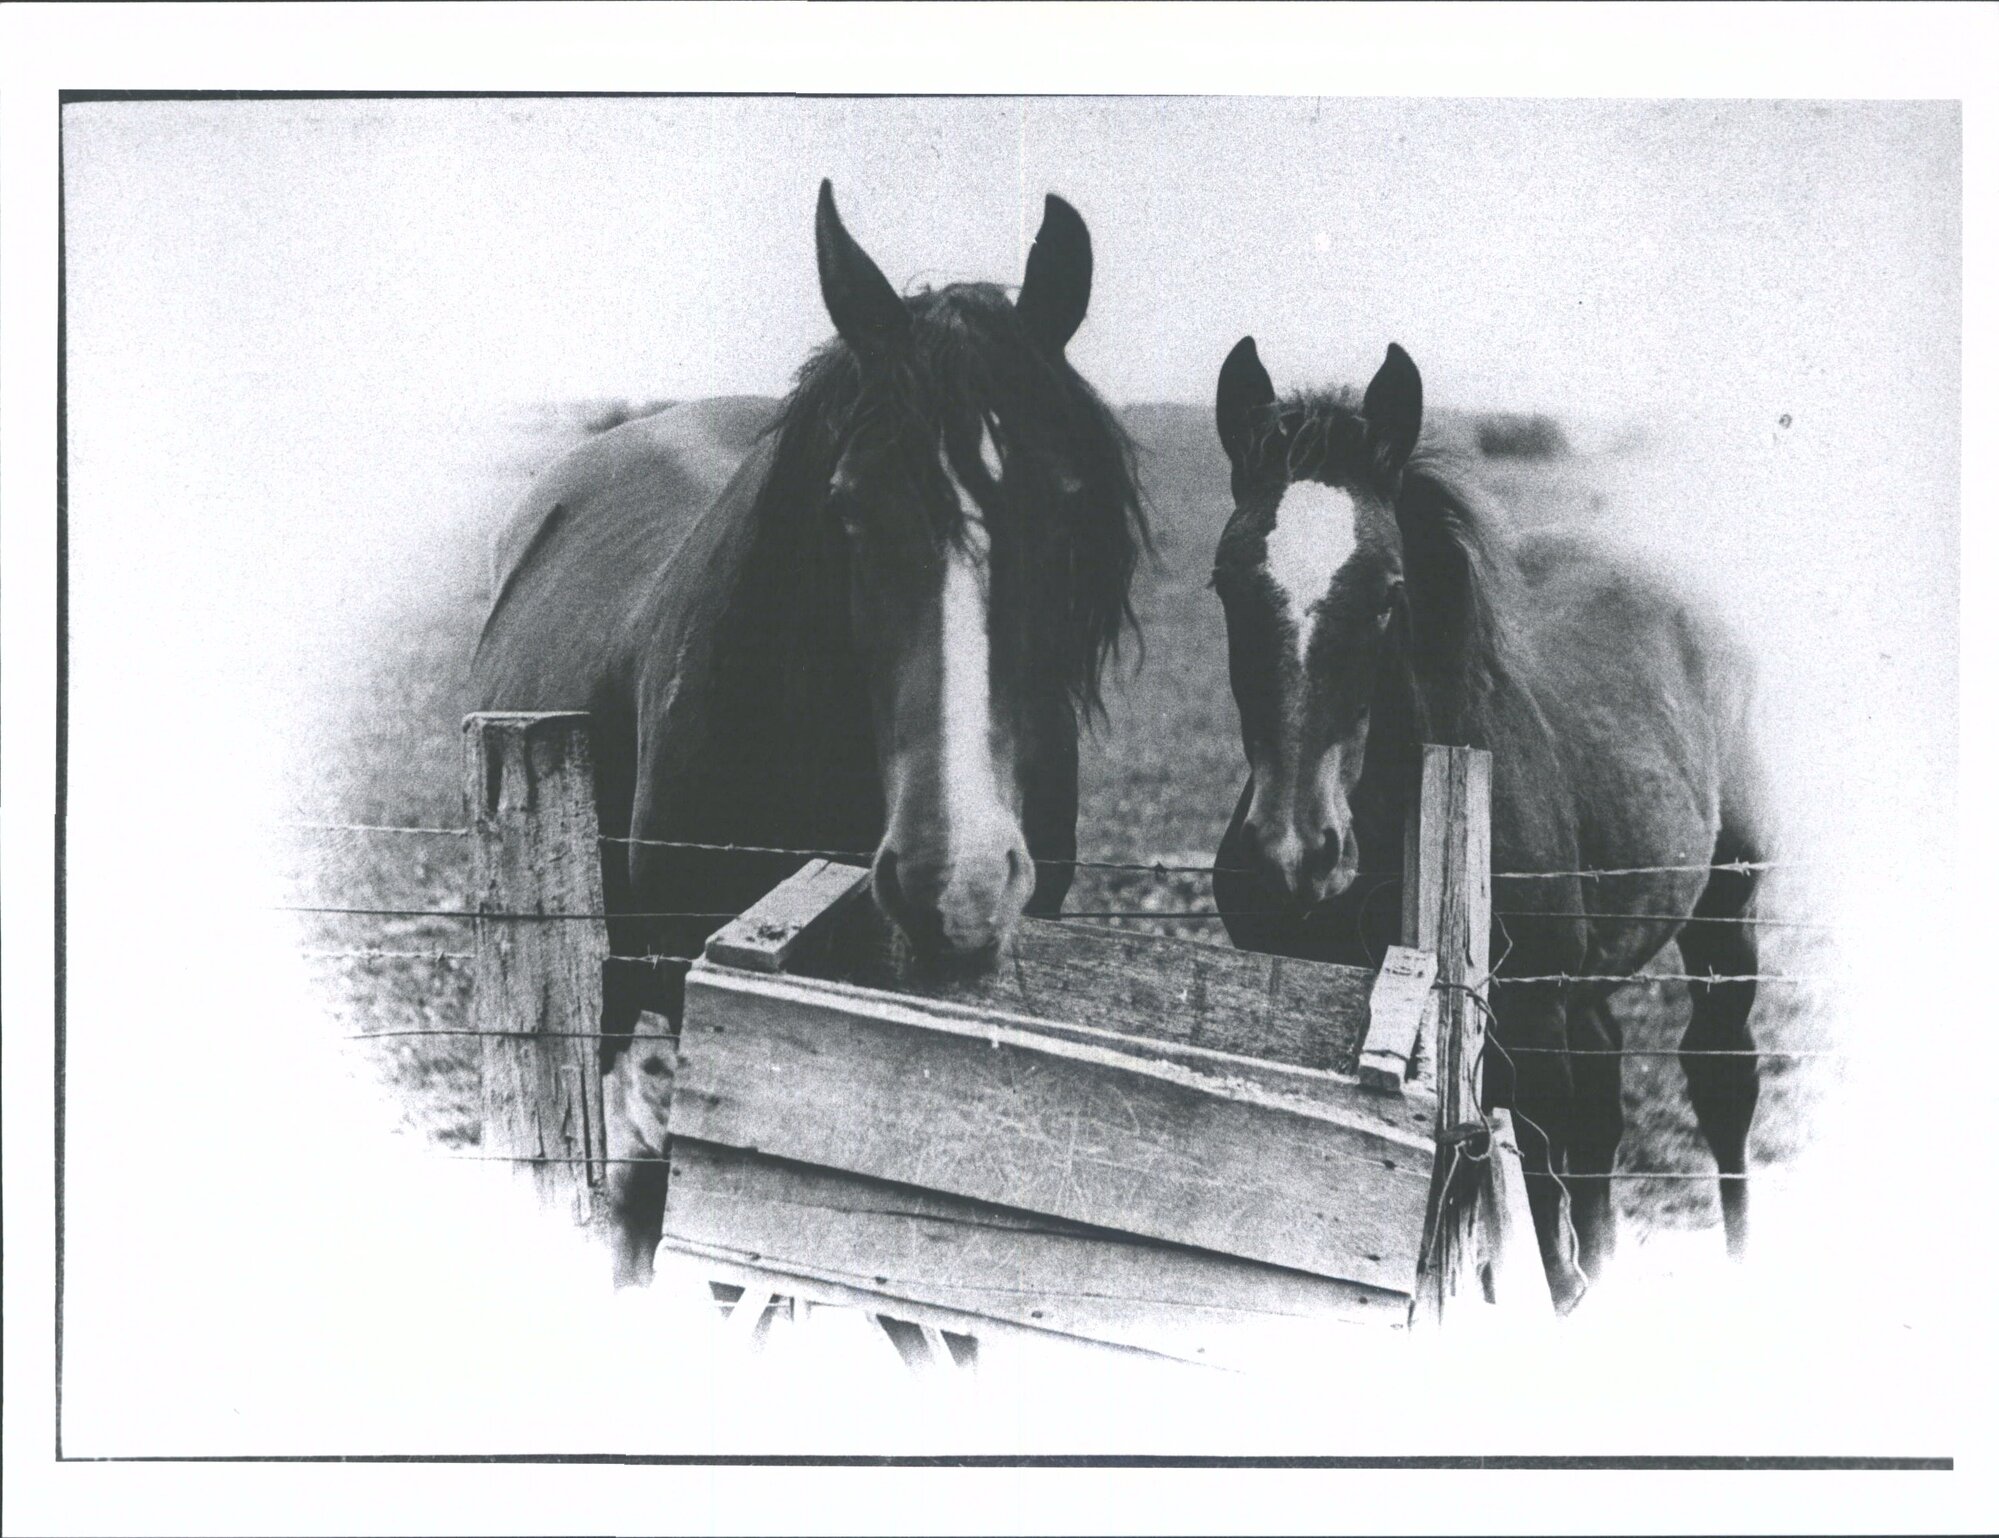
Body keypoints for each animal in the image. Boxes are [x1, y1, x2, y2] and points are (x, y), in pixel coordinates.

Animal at [1207, 336, 1768, 1310]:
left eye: (1388, 594)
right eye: (1225, 584)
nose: (1290, 856)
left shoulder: (1523, 1042)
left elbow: (1539, 1239)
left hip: (1721, 911)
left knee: (1719, 1081)